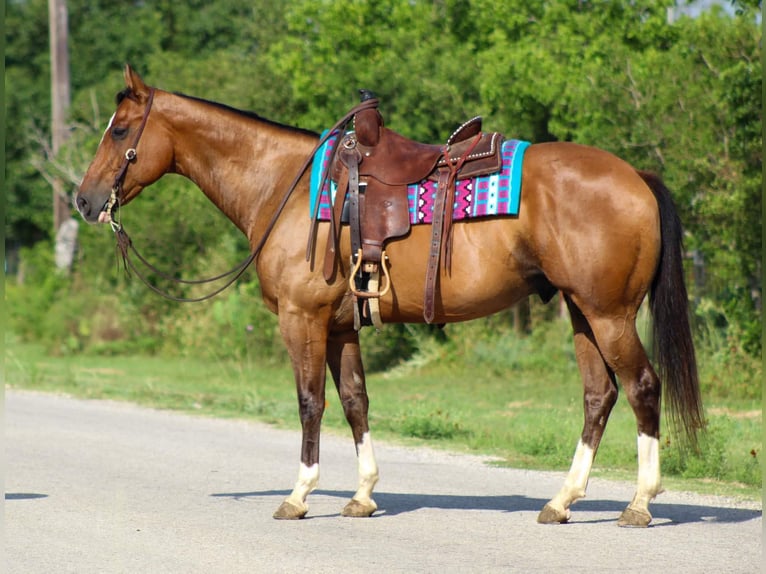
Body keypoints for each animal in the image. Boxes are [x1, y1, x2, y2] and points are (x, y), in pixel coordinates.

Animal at [75, 65, 704, 528]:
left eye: (120, 131)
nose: (84, 200)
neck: (285, 186)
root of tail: (636, 177)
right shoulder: (340, 326)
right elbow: (356, 402)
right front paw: (362, 495)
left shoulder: (303, 320)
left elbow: (310, 403)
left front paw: (299, 495)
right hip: (582, 312)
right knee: (599, 395)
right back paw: (562, 500)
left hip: (609, 314)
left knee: (642, 387)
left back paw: (639, 503)